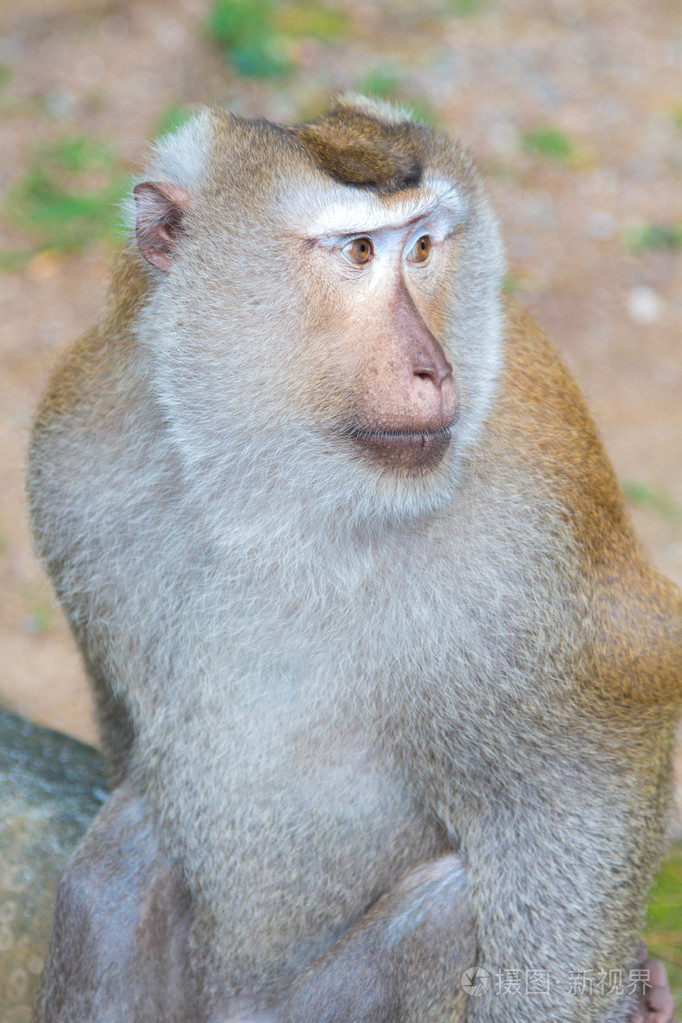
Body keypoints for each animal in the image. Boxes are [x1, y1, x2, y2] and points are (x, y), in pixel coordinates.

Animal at [27, 96, 682, 1023]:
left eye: (424, 247)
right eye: (361, 252)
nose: (433, 368)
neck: (272, 490)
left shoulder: (532, 519)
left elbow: (577, 786)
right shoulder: (74, 448)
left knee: (448, 911)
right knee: (118, 858)